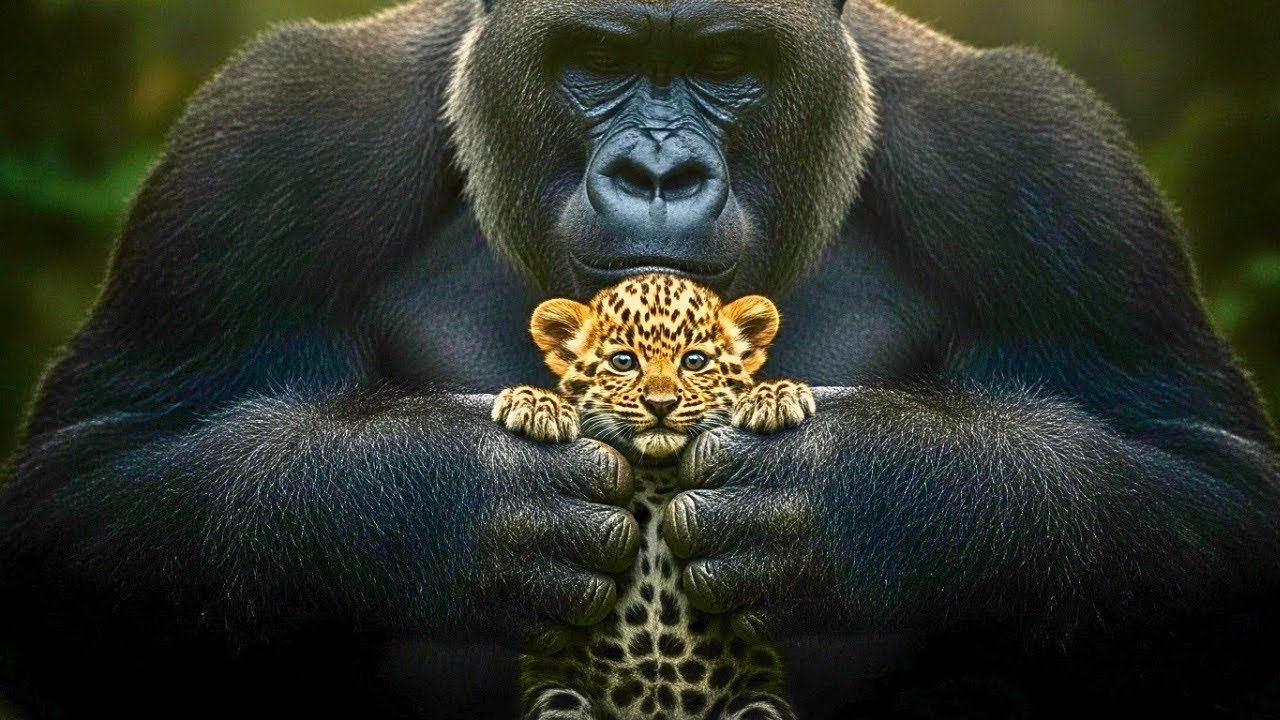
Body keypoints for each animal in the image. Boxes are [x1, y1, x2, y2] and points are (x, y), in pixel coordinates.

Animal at [493, 273, 816, 720]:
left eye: (694, 361)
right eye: (623, 362)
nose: (661, 403)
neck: (657, 476)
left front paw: (775, 396)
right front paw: (536, 404)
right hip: (558, 695)